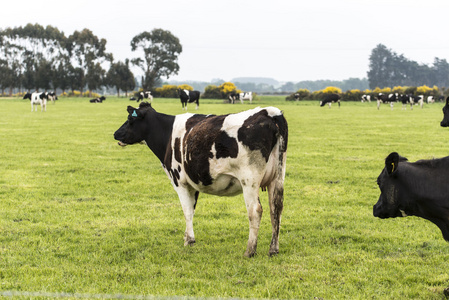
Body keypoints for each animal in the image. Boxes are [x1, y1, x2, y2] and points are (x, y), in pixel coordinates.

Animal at [112, 102, 288, 256]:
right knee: (276, 209)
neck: (168, 134)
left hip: (249, 180)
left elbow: (187, 211)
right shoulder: (193, 184)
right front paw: (187, 238)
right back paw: (273, 249)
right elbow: (192, 209)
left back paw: (250, 251)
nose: (115, 133)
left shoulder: (180, 182)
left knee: (255, 211)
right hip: (277, 177)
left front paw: (189, 240)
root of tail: (268, 112)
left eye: (130, 119)